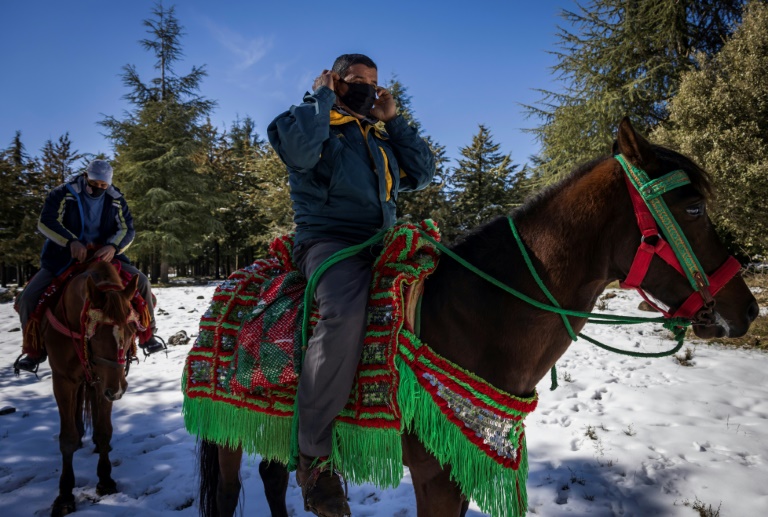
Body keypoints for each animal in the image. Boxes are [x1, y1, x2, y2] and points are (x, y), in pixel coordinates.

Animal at [42, 262, 140, 516]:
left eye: (132, 330)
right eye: (95, 336)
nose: (118, 390)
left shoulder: (103, 382)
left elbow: (104, 431)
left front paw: (105, 481)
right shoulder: (64, 381)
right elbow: (67, 438)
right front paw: (65, 495)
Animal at [196, 118, 756, 516]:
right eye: (693, 208)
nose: (746, 309)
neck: (479, 317)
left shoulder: (462, 469)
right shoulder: (437, 476)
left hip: (268, 423)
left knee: (273, 480)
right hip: (225, 429)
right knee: (229, 495)